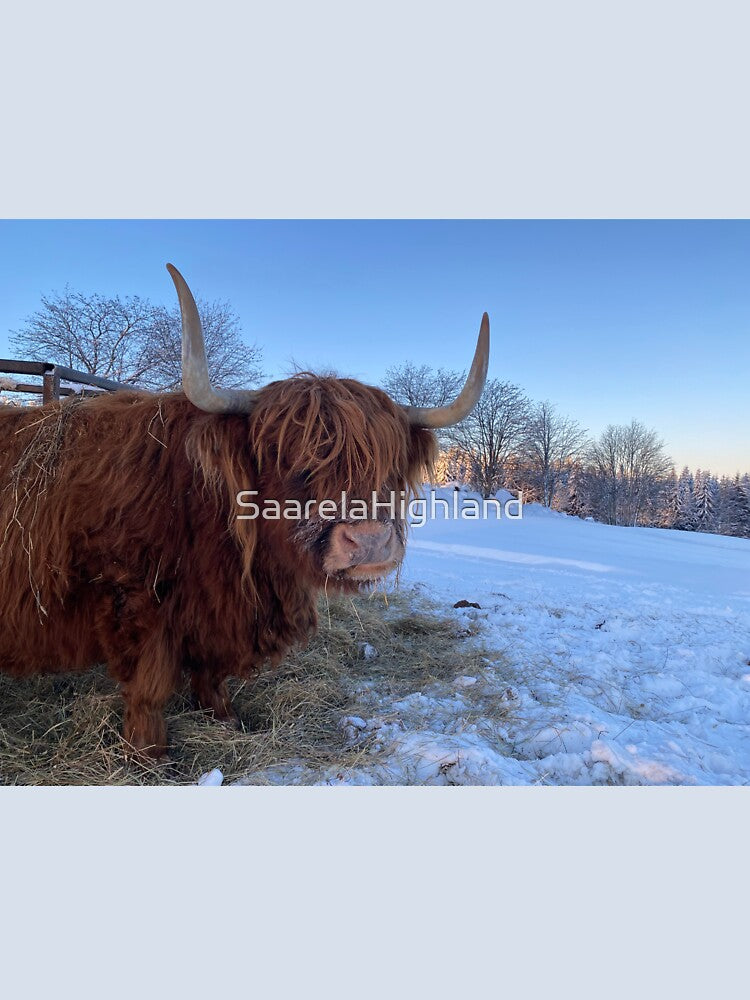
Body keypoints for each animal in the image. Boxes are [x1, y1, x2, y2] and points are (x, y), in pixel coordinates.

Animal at [0, 265, 489, 758]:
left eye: (389, 463)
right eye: (290, 461)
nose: (369, 540)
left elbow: (211, 676)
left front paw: (226, 718)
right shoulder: (134, 601)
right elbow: (148, 687)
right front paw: (149, 754)